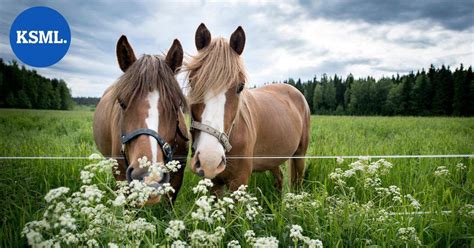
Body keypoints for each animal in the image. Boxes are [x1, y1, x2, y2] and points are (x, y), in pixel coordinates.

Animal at [185, 23, 312, 194]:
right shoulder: (215, 183)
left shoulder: (239, 181)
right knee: (279, 178)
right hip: (272, 159)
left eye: (240, 87)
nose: (209, 159)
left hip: (300, 155)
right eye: (192, 82)